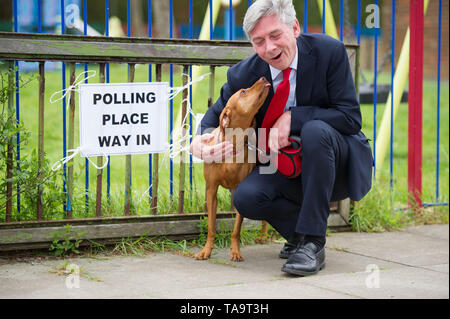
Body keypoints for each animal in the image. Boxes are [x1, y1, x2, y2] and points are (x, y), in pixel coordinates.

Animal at [194, 77, 270, 262]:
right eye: (243, 91)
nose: (263, 78)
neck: (233, 144)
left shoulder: (237, 191)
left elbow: (236, 229)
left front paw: (235, 251)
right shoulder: (211, 190)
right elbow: (211, 226)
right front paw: (206, 250)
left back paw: (263, 236)